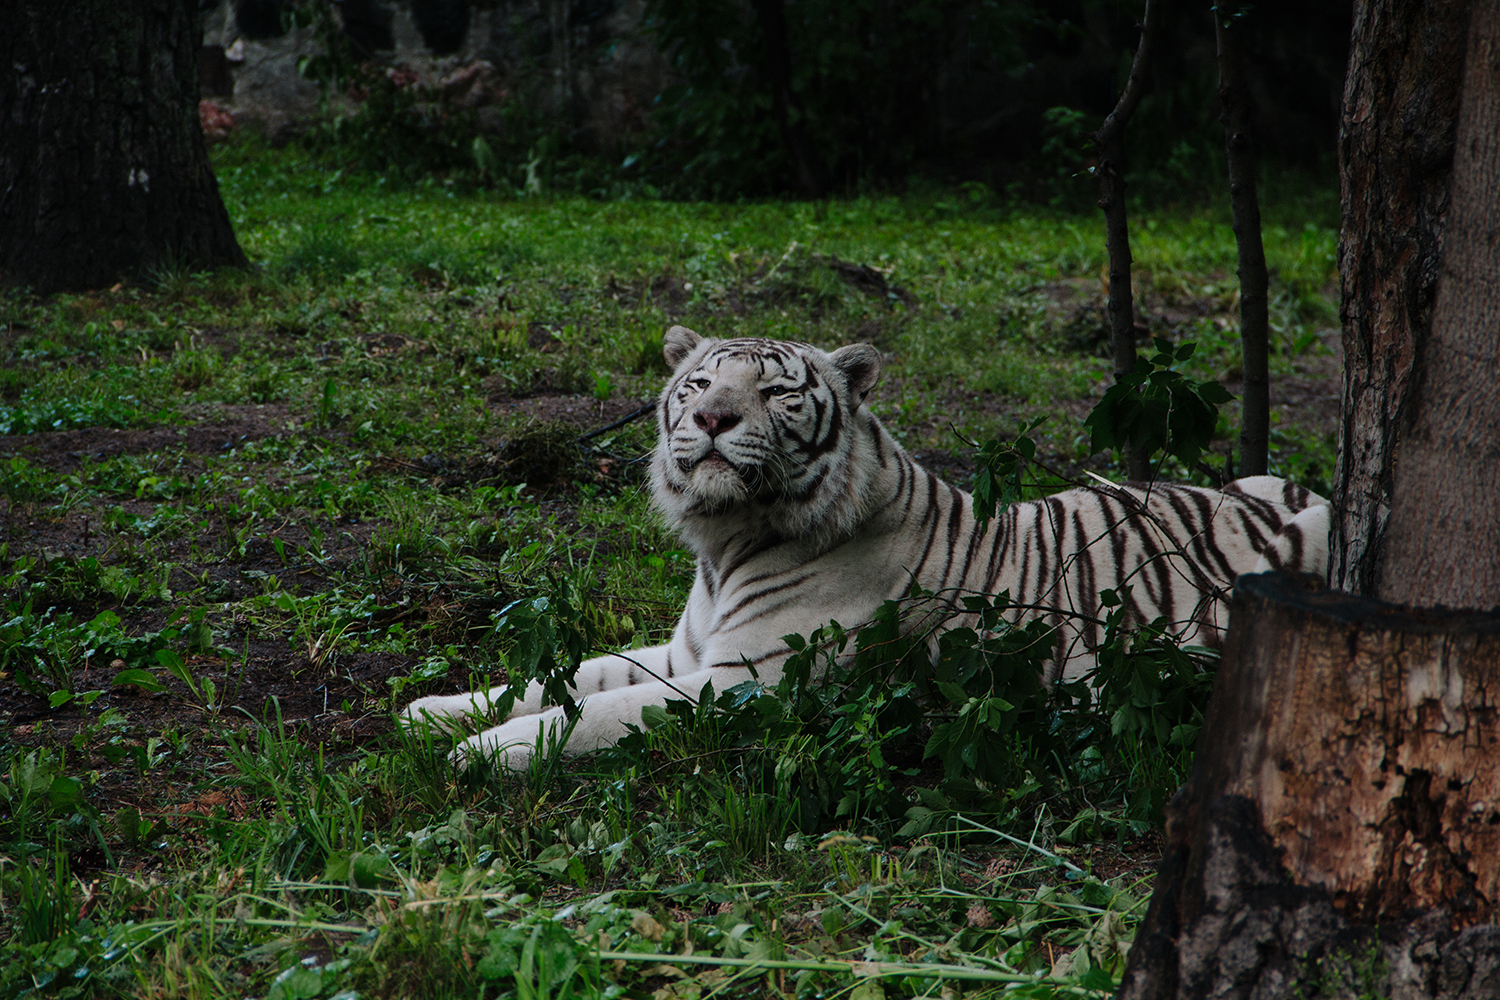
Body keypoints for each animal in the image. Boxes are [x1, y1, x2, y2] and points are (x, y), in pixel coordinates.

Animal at [405, 328, 1332, 767]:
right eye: (700, 381)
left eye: (774, 392)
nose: (711, 418)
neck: (723, 543)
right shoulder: (689, 652)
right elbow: (569, 676)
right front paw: (432, 713)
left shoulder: (749, 685)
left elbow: (593, 713)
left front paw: (477, 755)